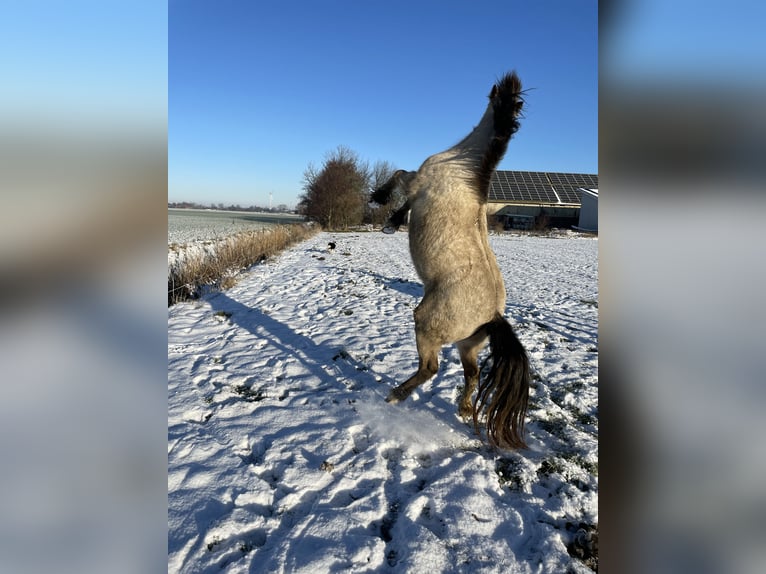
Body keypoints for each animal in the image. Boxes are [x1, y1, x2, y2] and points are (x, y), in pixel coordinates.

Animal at [376, 72, 532, 450]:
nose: (506, 81)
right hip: (468, 345)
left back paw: (395, 395)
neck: (462, 165)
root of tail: (493, 317)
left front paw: (382, 203)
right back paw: (463, 409)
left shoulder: (417, 181)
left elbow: (398, 173)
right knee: (472, 374)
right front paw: (393, 220)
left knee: (430, 368)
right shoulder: (418, 188)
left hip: (426, 324)